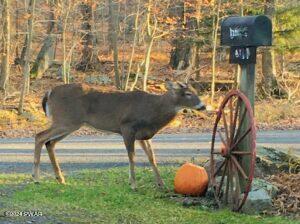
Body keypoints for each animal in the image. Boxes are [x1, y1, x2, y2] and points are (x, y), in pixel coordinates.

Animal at [33, 81, 206, 189]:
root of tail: (49, 93)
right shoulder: (127, 127)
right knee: (40, 136)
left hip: (70, 124)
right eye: (188, 93)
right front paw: (133, 184)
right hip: (66, 120)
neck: (152, 111)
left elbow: (152, 158)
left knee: (50, 143)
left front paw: (162, 184)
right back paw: (36, 179)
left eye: (196, 92)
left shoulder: (143, 135)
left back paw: (60, 179)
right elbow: (132, 156)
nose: (203, 106)